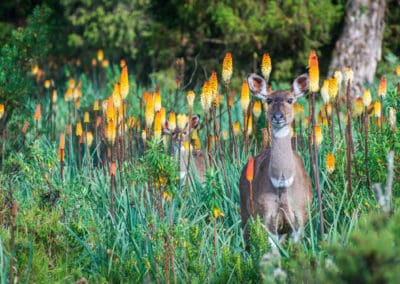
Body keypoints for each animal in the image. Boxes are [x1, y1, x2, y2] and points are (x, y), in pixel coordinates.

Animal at [239, 73, 314, 246]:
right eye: (269, 100)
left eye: (290, 100)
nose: (278, 116)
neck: (282, 184)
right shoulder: (266, 218)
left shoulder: (299, 218)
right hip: (246, 213)